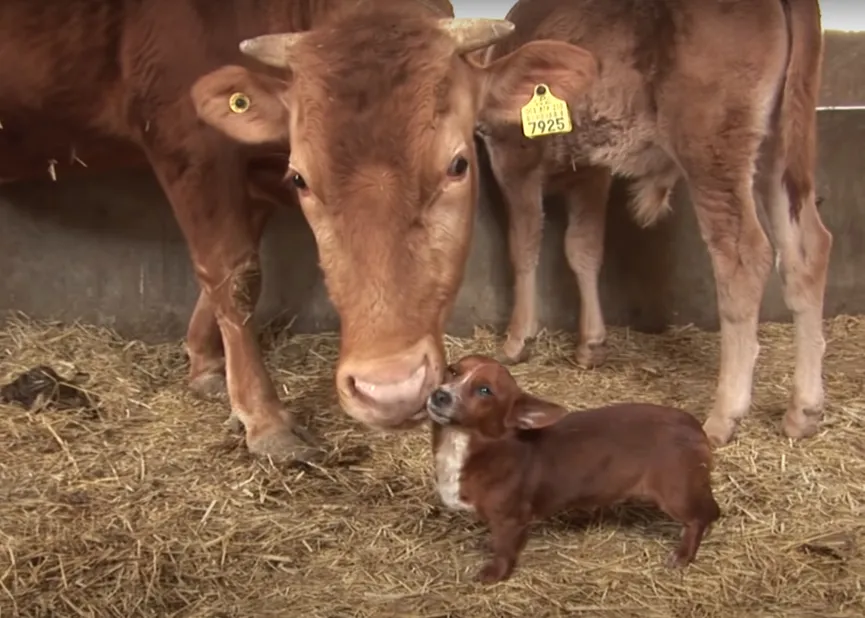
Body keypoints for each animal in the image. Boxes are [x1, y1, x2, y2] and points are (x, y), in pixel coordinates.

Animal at [0, 1, 592, 458]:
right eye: (303, 178)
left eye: (458, 164)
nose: (389, 390)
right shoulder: (186, 141)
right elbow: (231, 270)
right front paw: (264, 419)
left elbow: (235, 266)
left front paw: (205, 362)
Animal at [428, 352, 720, 584]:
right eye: (453, 371)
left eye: (484, 391)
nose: (439, 395)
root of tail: (696, 428)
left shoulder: (510, 519)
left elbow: (504, 550)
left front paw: (493, 574)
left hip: (675, 495)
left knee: (699, 518)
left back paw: (683, 555)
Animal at [476, 0, 832, 446]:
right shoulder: (592, 169)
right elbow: (583, 249)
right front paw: (591, 344)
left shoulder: (515, 157)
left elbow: (523, 246)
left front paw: (516, 339)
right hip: (779, 147)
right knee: (808, 249)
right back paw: (803, 410)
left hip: (711, 146)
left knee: (743, 256)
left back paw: (724, 414)